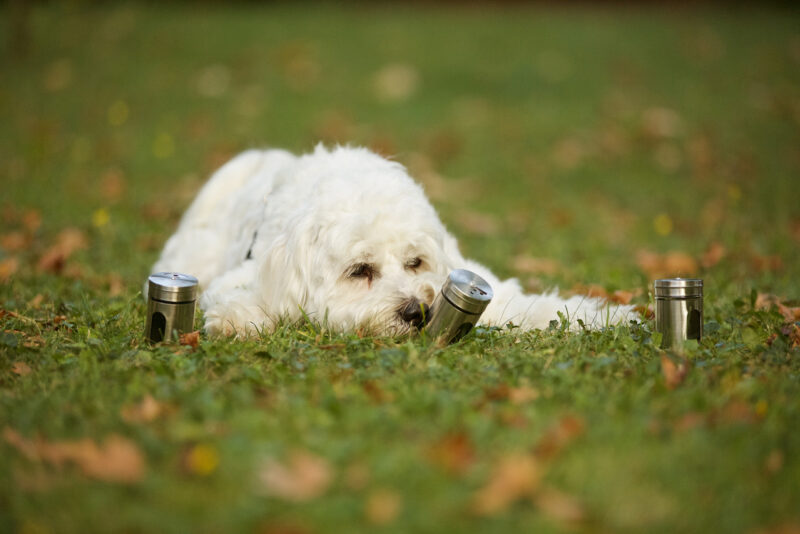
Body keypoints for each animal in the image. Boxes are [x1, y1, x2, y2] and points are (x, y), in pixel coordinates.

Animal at [152, 146, 636, 340]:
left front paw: (608, 315)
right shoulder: (249, 272)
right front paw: (239, 319)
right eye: (360, 271)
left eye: (415, 262)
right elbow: (240, 297)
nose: (417, 312)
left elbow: (532, 306)